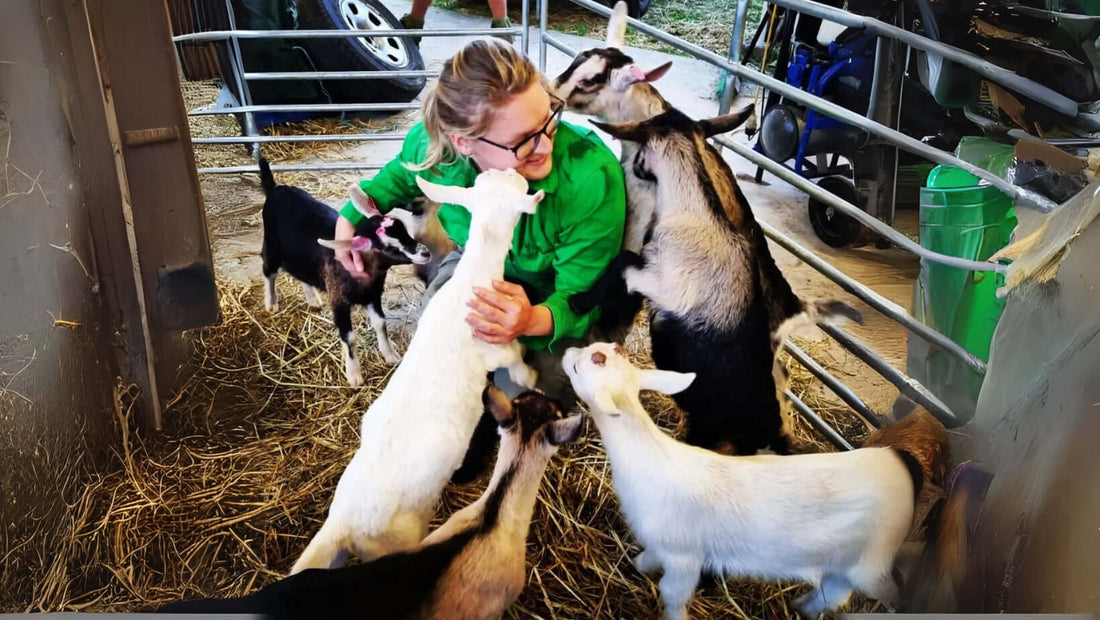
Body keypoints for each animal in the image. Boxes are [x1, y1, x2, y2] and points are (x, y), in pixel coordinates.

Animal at [259, 157, 430, 382]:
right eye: (389, 247)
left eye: (403, 227)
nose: (425, 253)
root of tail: (275, 188)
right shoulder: (339, 299)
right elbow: (349, 336)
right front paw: (354, 374)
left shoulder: (373, 294)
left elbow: (380, 323)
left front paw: (390, 355)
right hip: (272, 246)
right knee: (268, 270)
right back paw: (271, 303)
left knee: (303, 272)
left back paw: (313, 299)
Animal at [289, 169, 544, 574]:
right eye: (514, 186)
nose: (509, 170)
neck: (472, 279)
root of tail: (343, 521)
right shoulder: (499, 346)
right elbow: (517, 361)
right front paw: (531, 379)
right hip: (397, 539)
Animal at [563, 342, 948, 620]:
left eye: (584, 364)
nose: (567, 352)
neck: (651, 458)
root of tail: (899, 466)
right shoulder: (663, 543)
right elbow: (647, 559)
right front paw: (636, 566)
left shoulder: (686, 555)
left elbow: (672, 595)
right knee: (834, 590)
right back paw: (802, 608)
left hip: (872, 559)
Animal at [568, 107, 861, 456]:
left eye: (641, 151)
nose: (637, 167)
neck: (693, 210)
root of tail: (770, 434)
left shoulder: (657, 279)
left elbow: (621, 262)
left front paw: (578, 301)